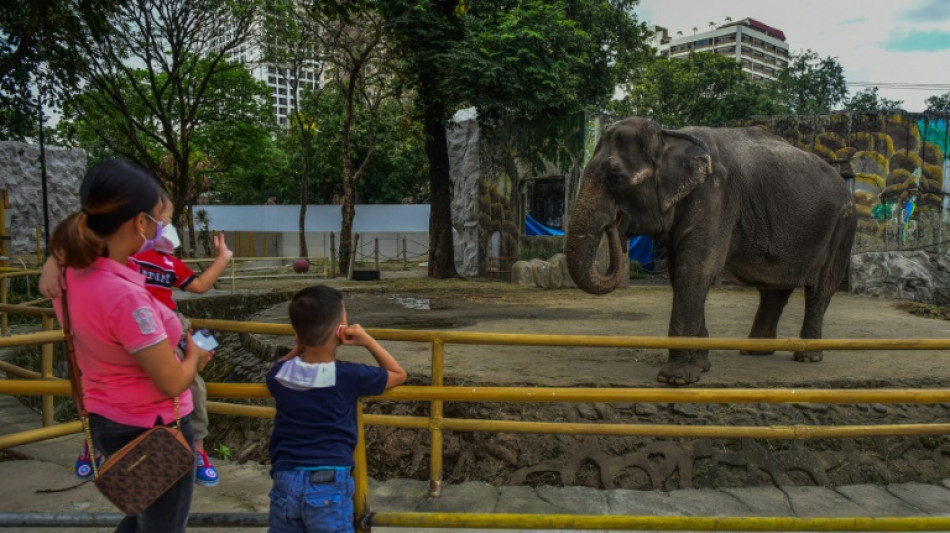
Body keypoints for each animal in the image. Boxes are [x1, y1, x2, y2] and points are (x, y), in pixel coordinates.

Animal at [568, 116, 860, 384]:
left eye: (615, 178)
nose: (613, 225)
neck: (669, 136)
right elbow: (680, 270)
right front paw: (701, 367)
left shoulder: (716, 194)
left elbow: (695, 267)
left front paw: (676, 379)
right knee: (774, 289)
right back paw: (754, 351)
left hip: (843, 225)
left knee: (820, 288)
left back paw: (808, 357)